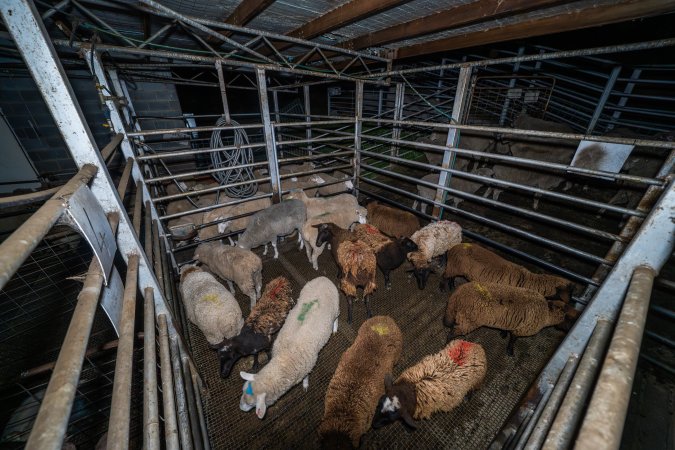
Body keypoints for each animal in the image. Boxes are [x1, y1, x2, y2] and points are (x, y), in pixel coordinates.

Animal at [239, 276, 344, 420]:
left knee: (337, 317)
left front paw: (305, 385)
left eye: (252, 404)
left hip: (335, 306)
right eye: (243, 390)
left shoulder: (307, 366)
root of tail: (323, 278)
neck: (284, 358)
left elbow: (306, 378)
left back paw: (334, 328)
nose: (240, 408)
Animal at [444, 243, 576, 302]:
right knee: (445, 276)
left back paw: (451, 286)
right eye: (569, 292)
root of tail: (453, 247)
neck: (528, 281)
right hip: (453, 267)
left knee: (451, 277)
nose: (570, 302)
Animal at [446, 284, 580, 356]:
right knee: (452, 332)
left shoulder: (510, 322)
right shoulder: (521, 329)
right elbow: (513, 340)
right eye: (569, 318)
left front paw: (503, 334)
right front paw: (510, 351)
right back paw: (448, 343)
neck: (546, 314)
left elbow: (507, 330)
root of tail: (458, 294)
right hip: (468, 321)